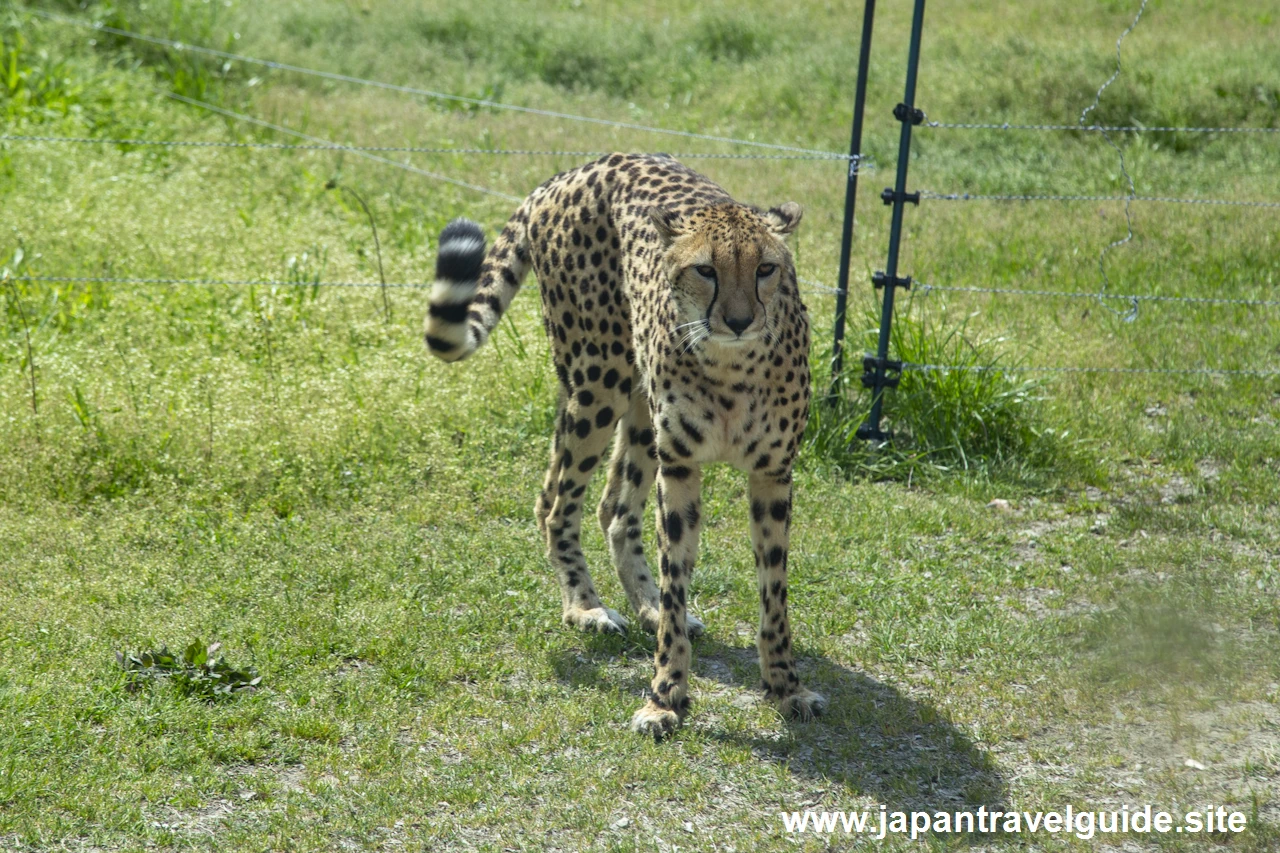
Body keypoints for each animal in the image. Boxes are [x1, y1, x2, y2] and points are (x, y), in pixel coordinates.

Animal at [422, 151, 819, 732]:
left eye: (766, 269)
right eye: (706, 270)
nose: (740, 320)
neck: (733, 367)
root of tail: (575, 170)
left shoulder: (772, 473)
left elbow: (774, 590)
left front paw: (786, 685)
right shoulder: (680, 466)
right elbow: (677, 574)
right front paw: (665, 695)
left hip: (634, 406)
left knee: (607, 505)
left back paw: (644, 602)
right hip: (597, 384)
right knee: (557, 503)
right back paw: (585, 607)